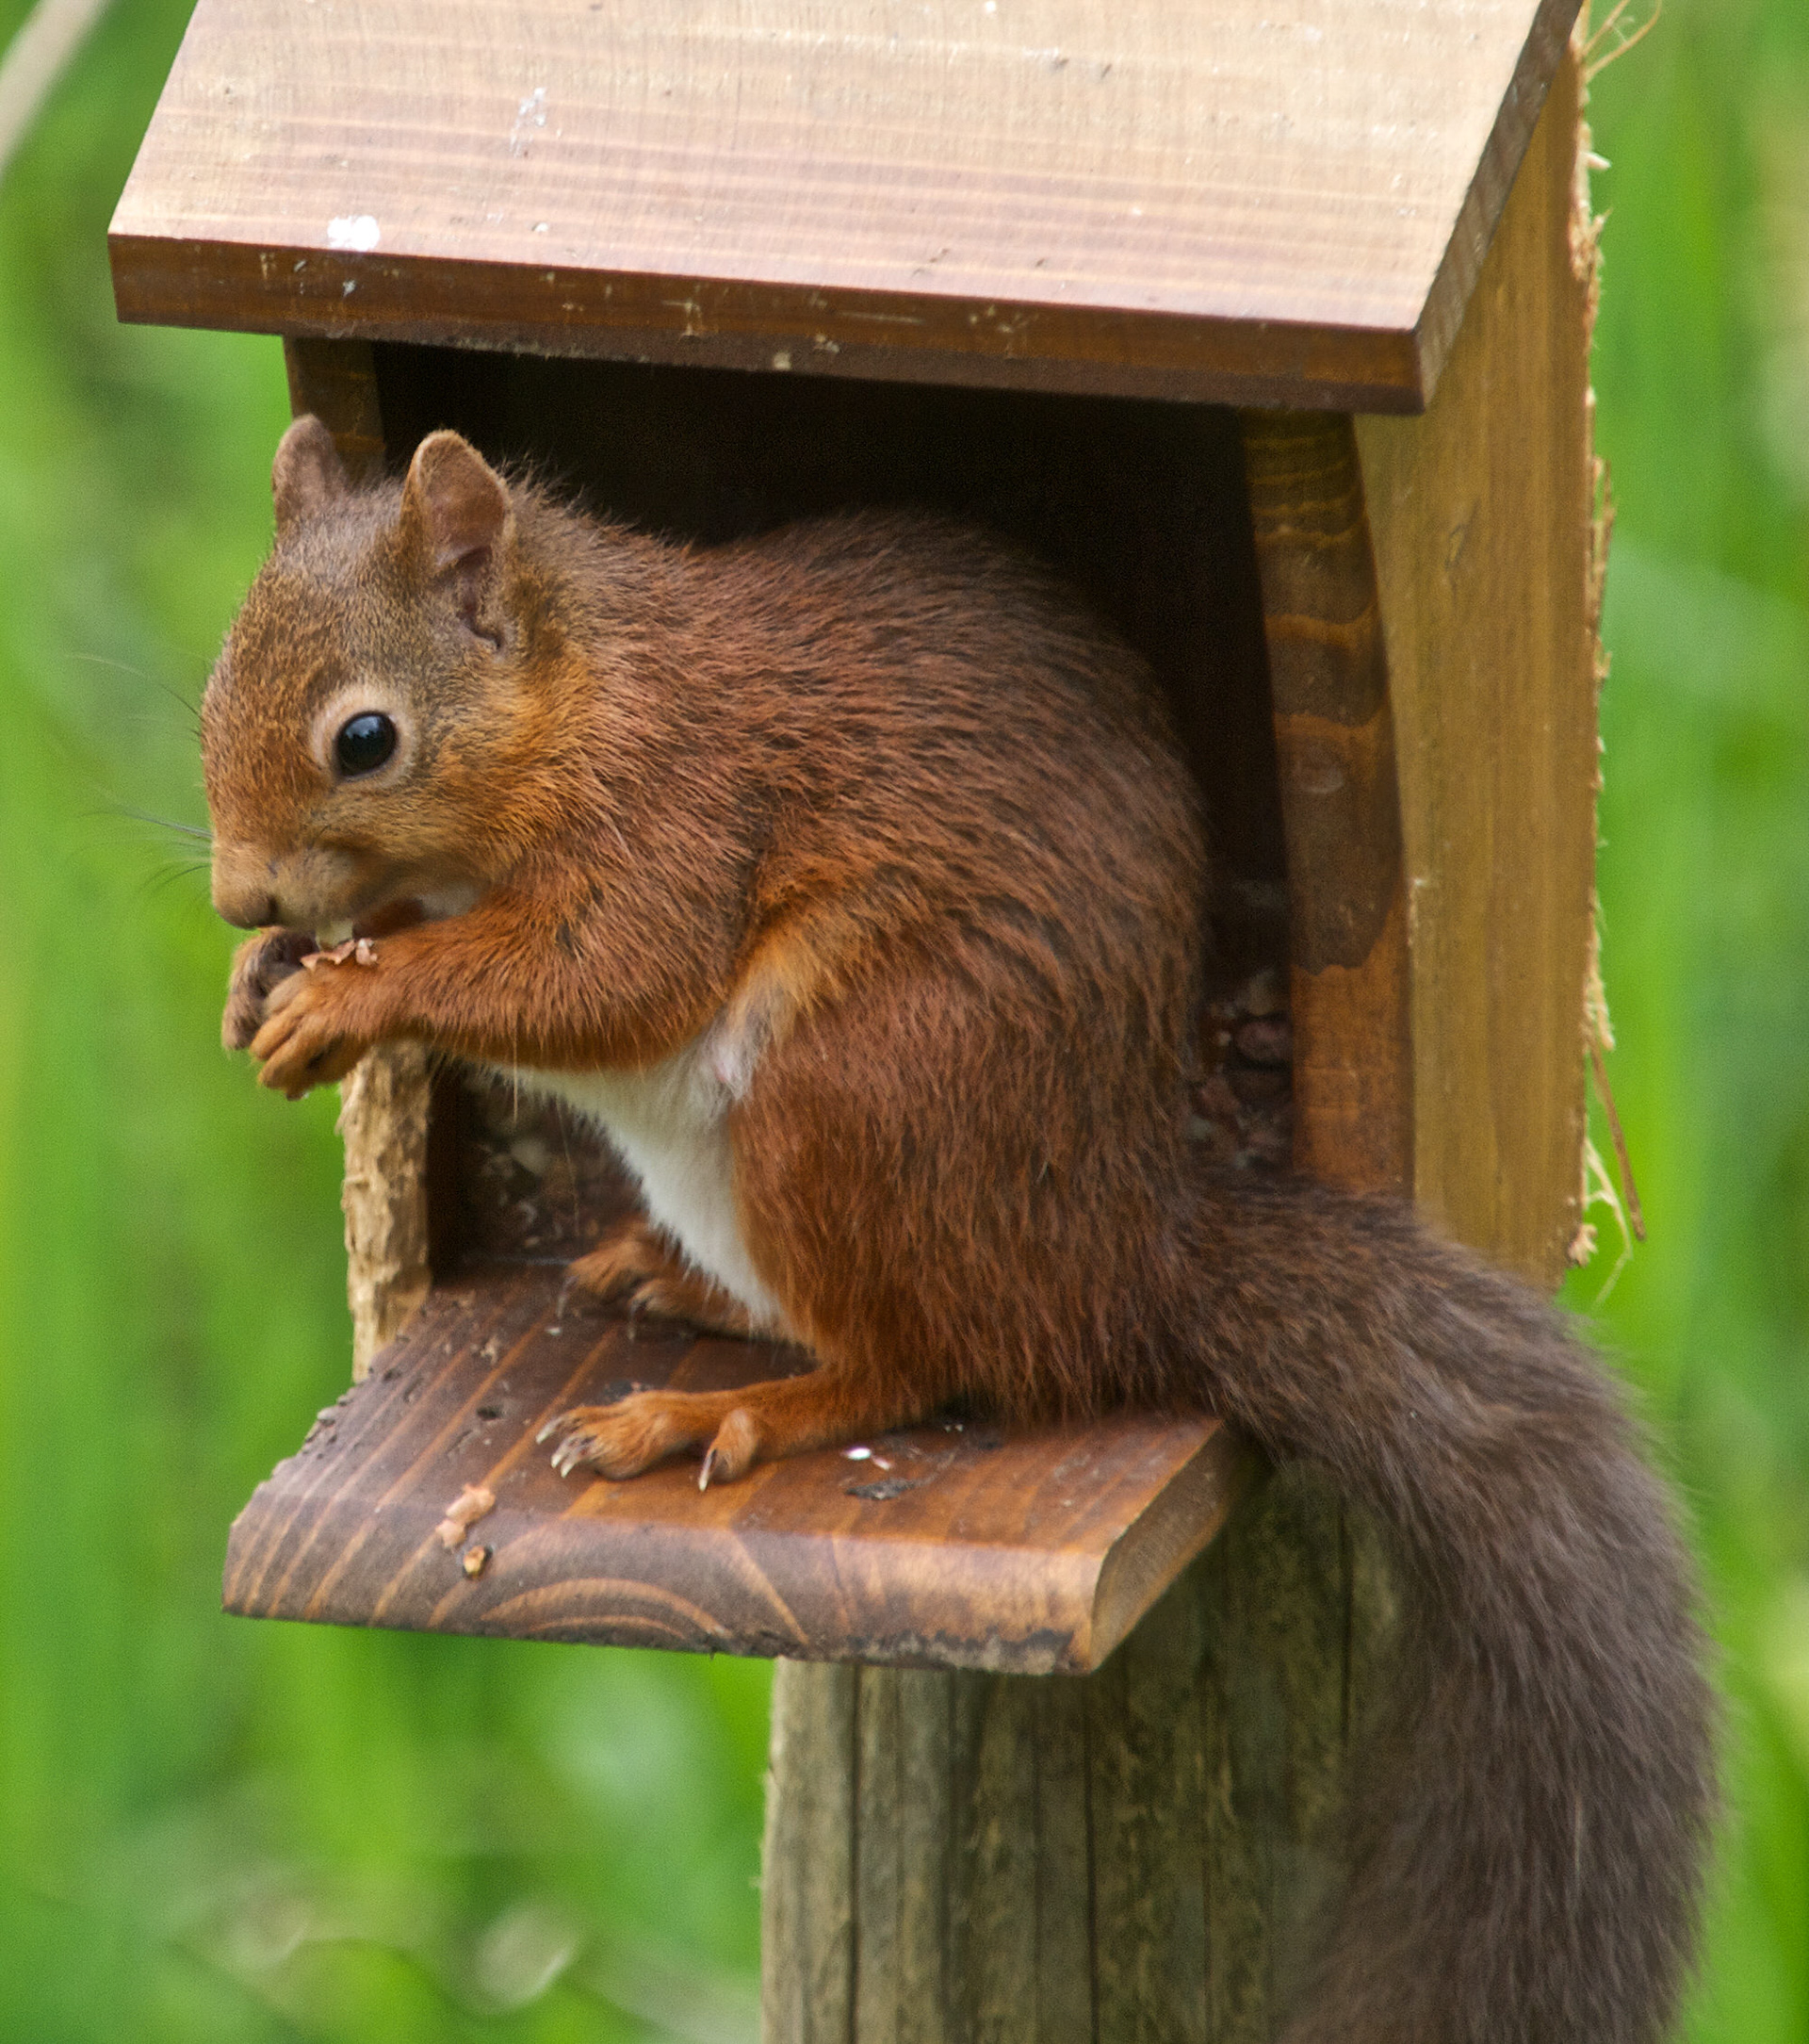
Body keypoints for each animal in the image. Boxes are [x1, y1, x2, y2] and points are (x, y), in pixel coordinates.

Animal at [204, 415, 1713, 2044]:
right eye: (217, 683)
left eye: (364, 738)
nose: (238, 897)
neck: (583, 693)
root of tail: (1126, 1254)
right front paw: (273, 979)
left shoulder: (675, 816)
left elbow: (603, 975)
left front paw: (356, 994)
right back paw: (679, 1287)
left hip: (847, 1099)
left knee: (914, 1365)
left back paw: (710, 1413)